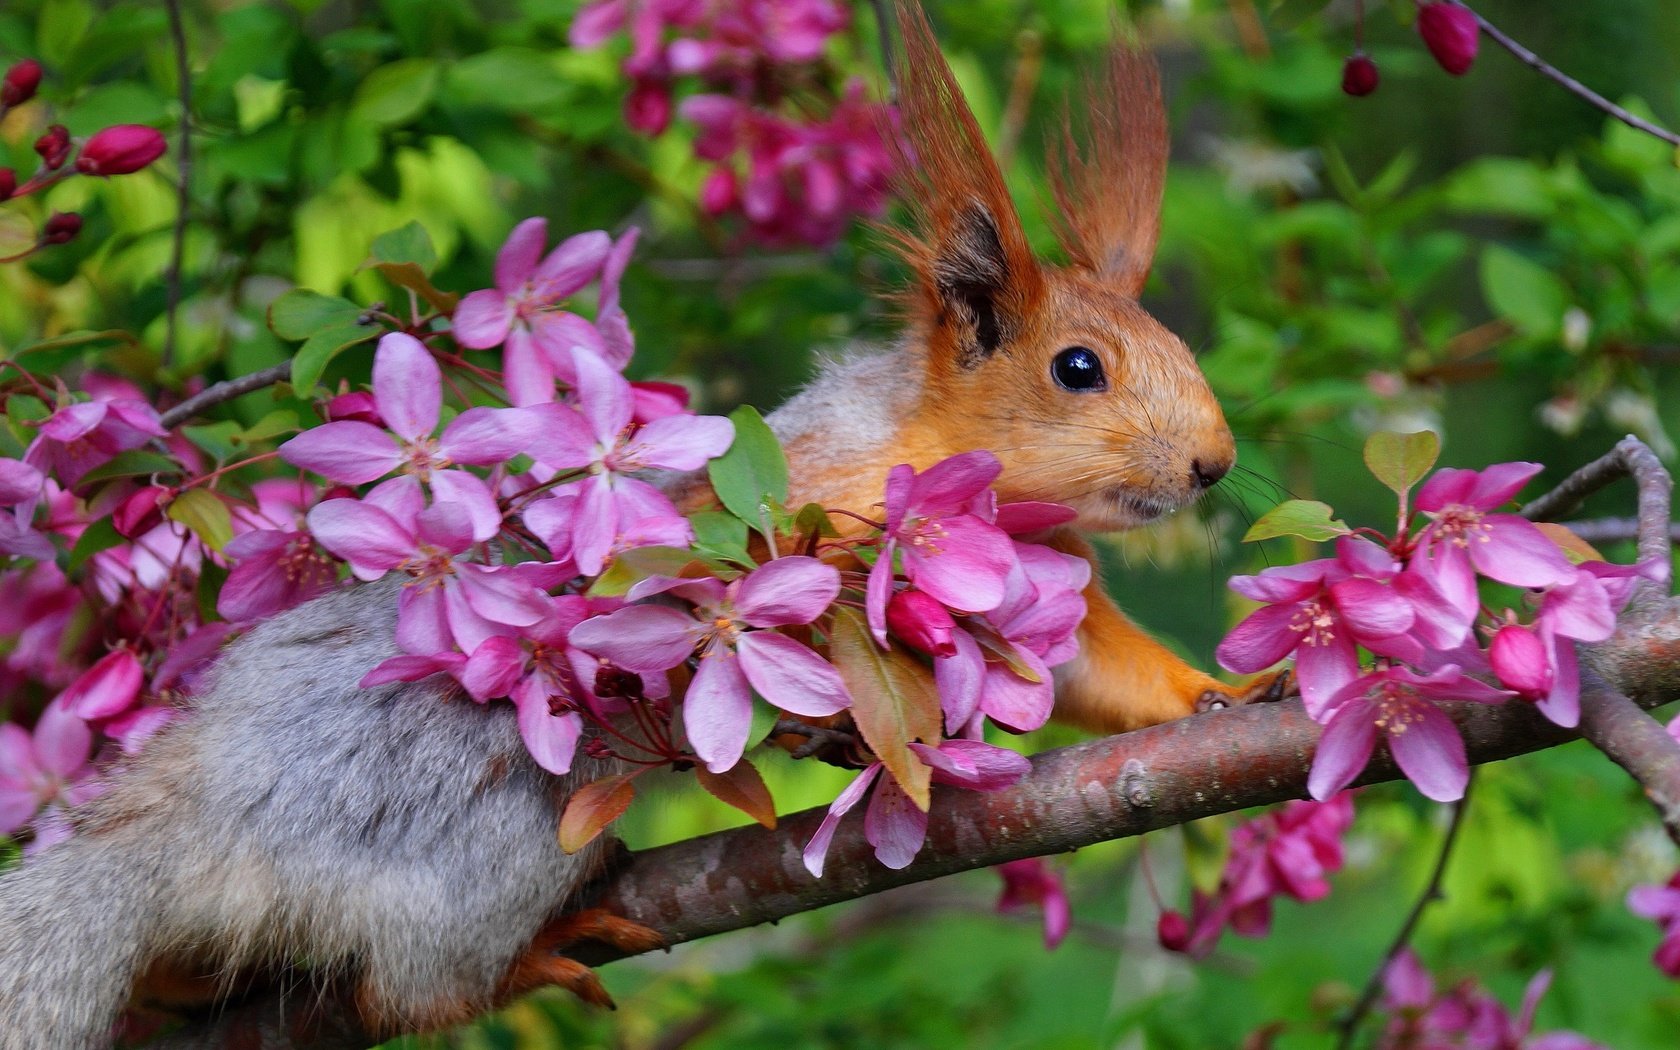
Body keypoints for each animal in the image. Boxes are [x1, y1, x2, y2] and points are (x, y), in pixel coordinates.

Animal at [0, 8, 1270, 1048]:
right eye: (1077, 369)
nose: (1214, 462)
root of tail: (193, 823)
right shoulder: (813, 509)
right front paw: (864, 729)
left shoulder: (1064, 586)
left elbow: (1113, 678)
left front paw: (1226, 694)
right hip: (484, 825)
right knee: (408, 992)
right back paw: (539, 956)